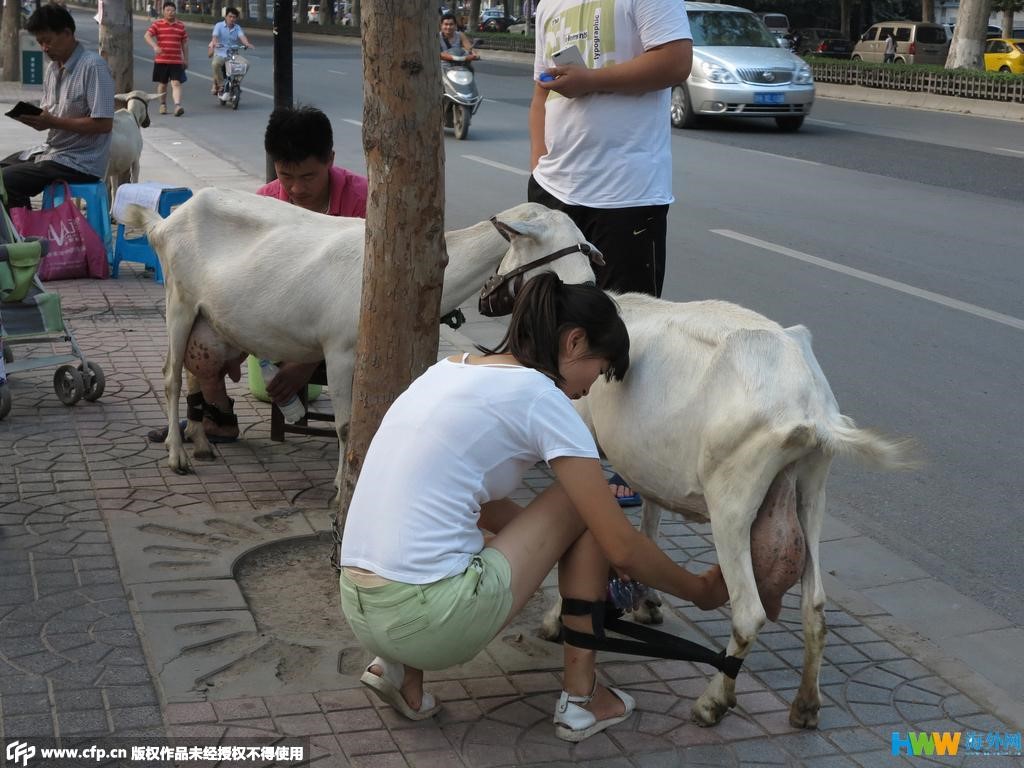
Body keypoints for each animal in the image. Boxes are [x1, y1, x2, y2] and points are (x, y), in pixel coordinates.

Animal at [122, 192, 601, 498]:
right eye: (548, 249)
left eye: (584, 245)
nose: (592, 291)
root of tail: (164, 222)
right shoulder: (340, 351)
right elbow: (346, 425)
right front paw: (340, 489)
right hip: (179, 301)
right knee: (169, 376)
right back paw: (177, 456)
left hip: (207, 320)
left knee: (194, 371)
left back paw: (201, 442)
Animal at [539, 294, 915, 729]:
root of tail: (808, 409)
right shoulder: (649, 470)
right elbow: (649, 522)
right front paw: (647, 602)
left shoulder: (580, 436)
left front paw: (555, 619)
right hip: (812, 490)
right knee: (815, 606)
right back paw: (805, 706)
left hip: (732, 501)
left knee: (749, 613)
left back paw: (712, 702)